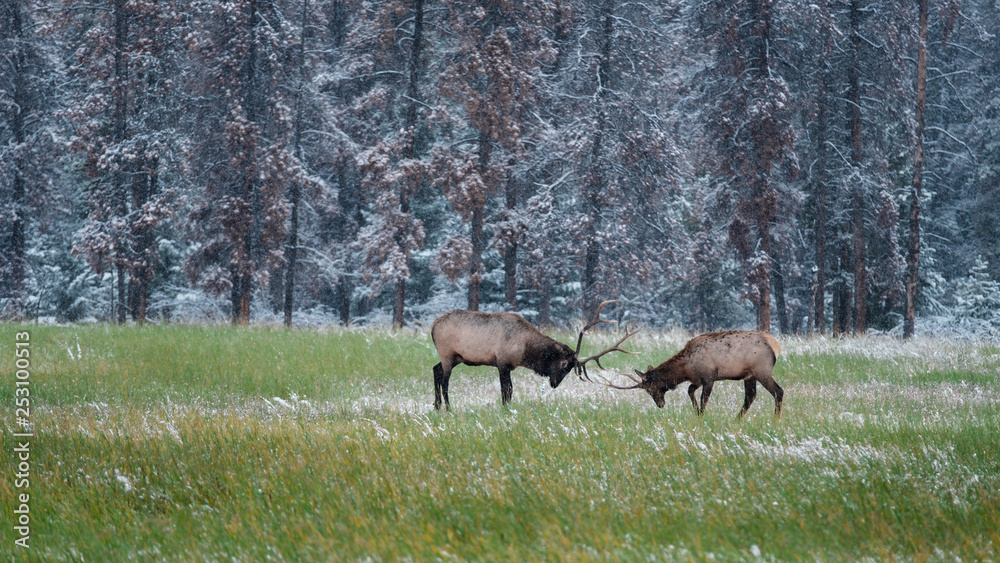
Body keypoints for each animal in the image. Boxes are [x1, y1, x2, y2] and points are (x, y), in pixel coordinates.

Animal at [430, 300, 637, 410]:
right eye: (564, 364)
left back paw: (437, 405)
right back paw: (448, 408)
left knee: (435, 370)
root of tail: (432, 327)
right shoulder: (502, 362)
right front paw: (505, 408)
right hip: (447, 353)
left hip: (456, 358)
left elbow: (511, 390)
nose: (554, 384)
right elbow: (506, 390)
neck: (524, 351)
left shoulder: (509, 366)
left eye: (571, 368)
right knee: (445, 381)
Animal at [598, 330, 784, 418]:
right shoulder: (697, 380)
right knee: (750, 396)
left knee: (778, 391)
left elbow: (703, 400)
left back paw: (775, 419)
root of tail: (775, 345)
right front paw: (697, 413)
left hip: (761, 371)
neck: (686, 368)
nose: (660, 404)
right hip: (749, 375)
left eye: (650, 389)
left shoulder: (709, 377)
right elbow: (689, 390)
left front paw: (702, 415)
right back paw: (737, 419)